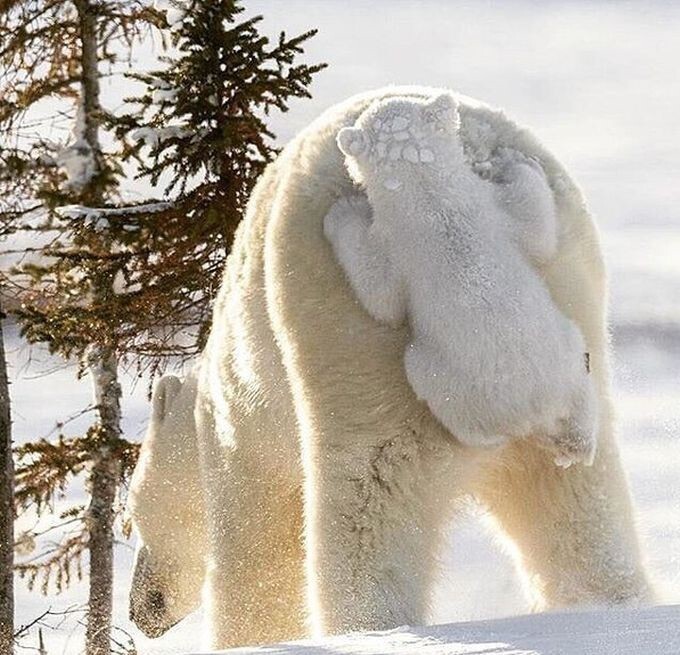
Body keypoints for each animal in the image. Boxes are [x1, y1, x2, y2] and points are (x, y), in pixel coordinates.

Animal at [127, 84, 652, 648]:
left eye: (130, 516)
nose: (141, 610)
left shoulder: (242, 429)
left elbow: (258, 551)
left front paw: (251, 636)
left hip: (347, 339)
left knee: (368, 500)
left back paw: (368, 626)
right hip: (571, 301)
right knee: (578, 504)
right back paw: (609, 602)